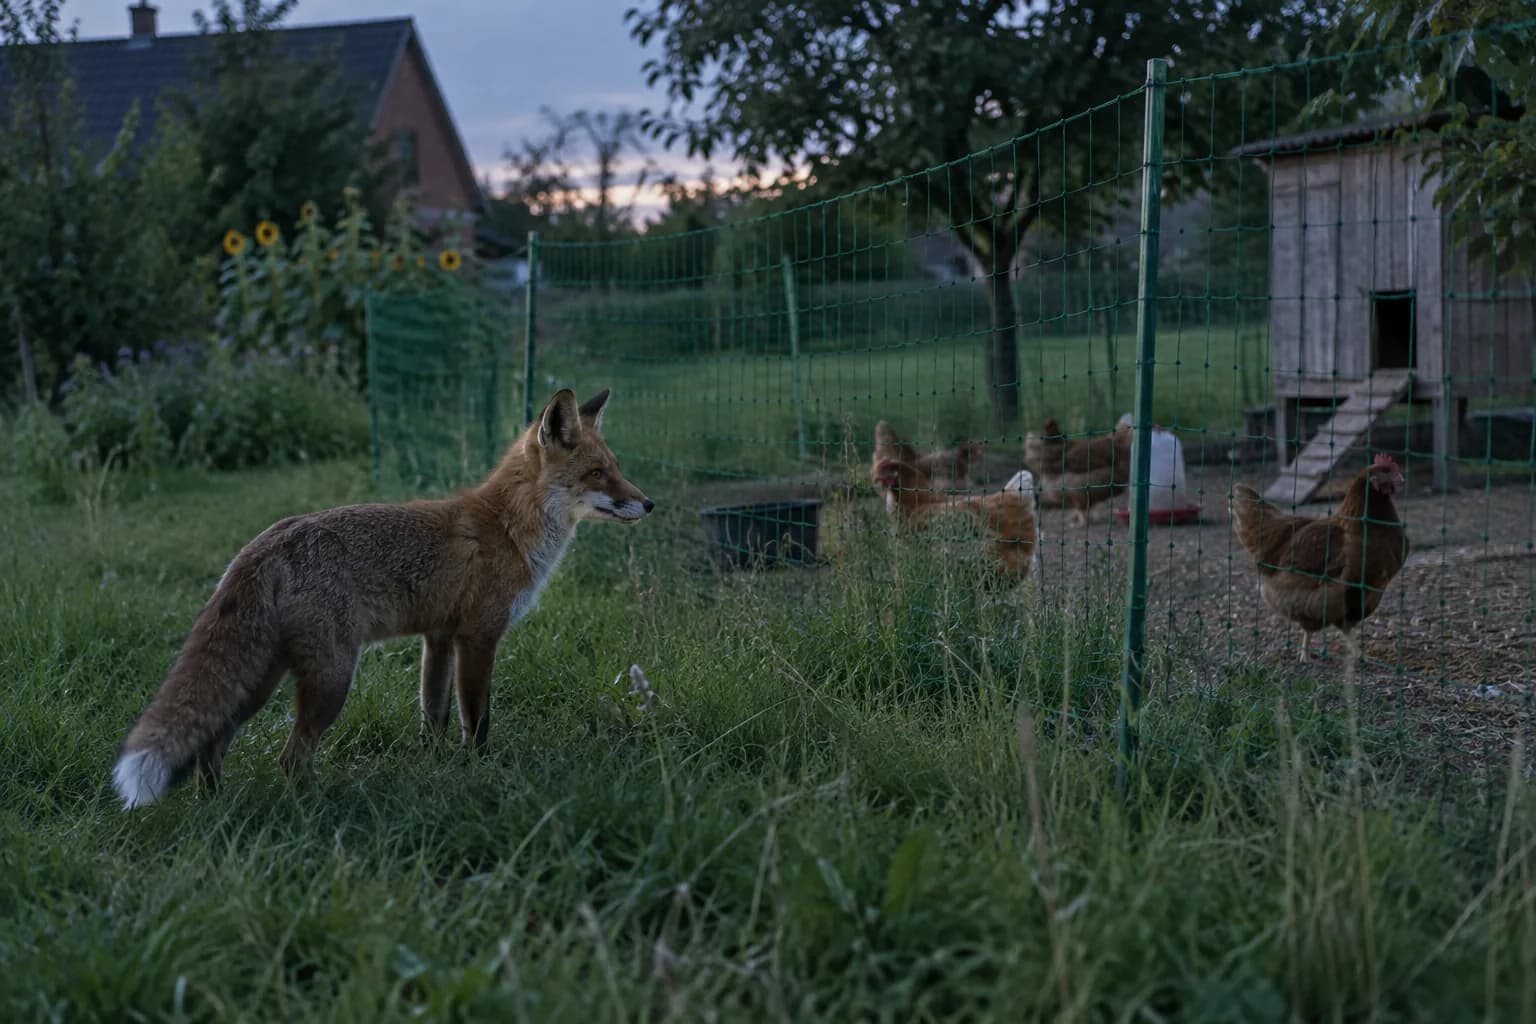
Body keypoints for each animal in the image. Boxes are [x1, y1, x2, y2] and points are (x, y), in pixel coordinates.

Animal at [112, 388, 652, 810]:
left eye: (614, 468)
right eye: (597, 473)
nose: (649, 503)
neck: (509, 528)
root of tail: (266, 541)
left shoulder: (439, 637)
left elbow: (433, 716)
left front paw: (436, 768)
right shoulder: (478, 637)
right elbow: (476, 721)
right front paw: (480, 770)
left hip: (261, 679)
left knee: (212, 744)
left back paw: (217, 807)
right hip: (331, 679)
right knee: (290, 757)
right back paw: (315, 807)